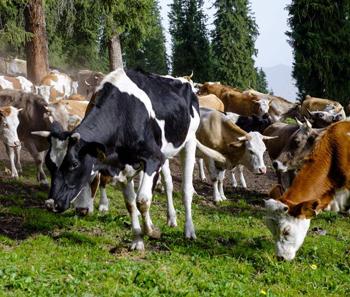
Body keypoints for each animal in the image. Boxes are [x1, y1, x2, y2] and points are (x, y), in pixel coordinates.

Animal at [35, 67, 226, 250]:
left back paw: (189, 230)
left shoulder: (153, 158)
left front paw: (152, 232)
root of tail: (183, 81)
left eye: (74, 164)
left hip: (189, 141)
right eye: (49, 164)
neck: (123, 112)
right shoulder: (124, 166)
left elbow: (142, 200)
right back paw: (171, 218)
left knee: (186, 189)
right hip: (163, 155)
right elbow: (131, 203)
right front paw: (138, 240)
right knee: (168, 184)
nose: (51, 203)